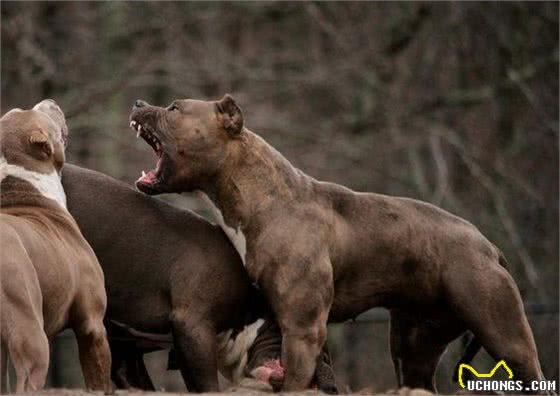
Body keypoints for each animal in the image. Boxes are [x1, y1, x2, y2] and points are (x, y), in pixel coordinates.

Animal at [127, 95, 548, 392]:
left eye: (174, 107)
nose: (138, 102)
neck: (264, 196)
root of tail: (489, 247)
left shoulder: (302, 330)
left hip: (507, 338)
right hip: (414, 346)